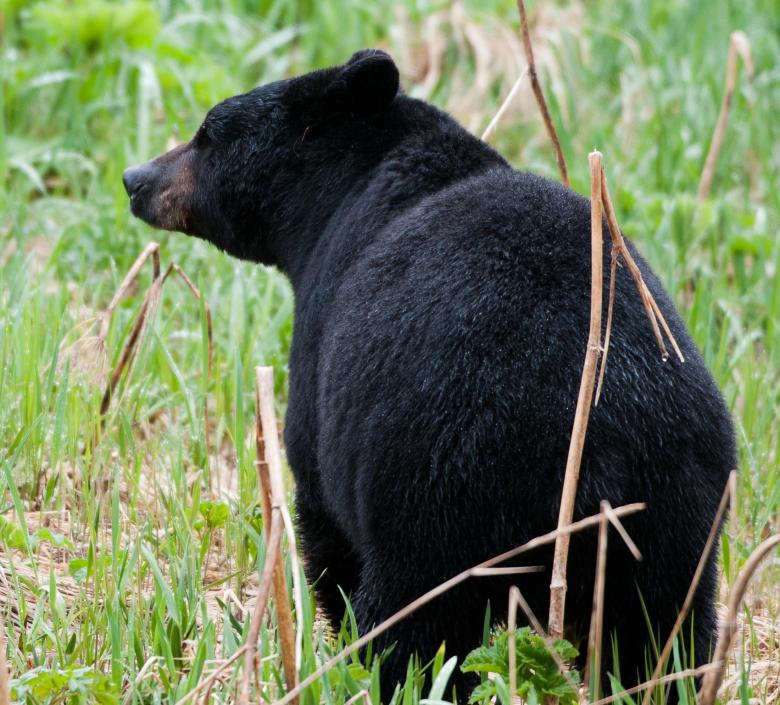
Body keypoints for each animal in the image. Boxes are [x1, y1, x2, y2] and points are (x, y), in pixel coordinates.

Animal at [123, 49, 736, 702]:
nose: (135, 178)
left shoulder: (322, 356)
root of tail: (602, 438)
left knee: (416, 624)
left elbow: (323, 519)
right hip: (679, 517)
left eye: (207, 134)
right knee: (662, 636)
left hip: (441, 494)